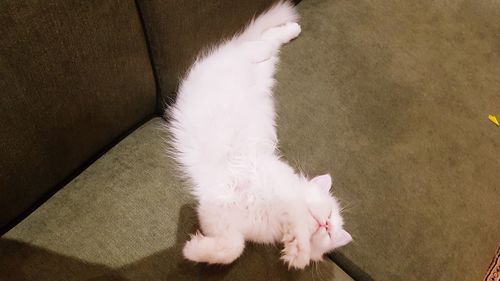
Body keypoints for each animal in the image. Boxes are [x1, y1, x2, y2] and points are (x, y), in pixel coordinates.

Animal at [168, 0, 352, 268]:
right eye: (327, 212)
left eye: (330, 231)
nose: (326, 224)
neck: (273, 214)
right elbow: (293, 220)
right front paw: (298, 248)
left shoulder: (218, 217)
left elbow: (234, 247)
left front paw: (193, 249)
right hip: (245, 57)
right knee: (257, 44)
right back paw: (289, 30)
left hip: (265, 69)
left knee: (267, 41)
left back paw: (292, 30)